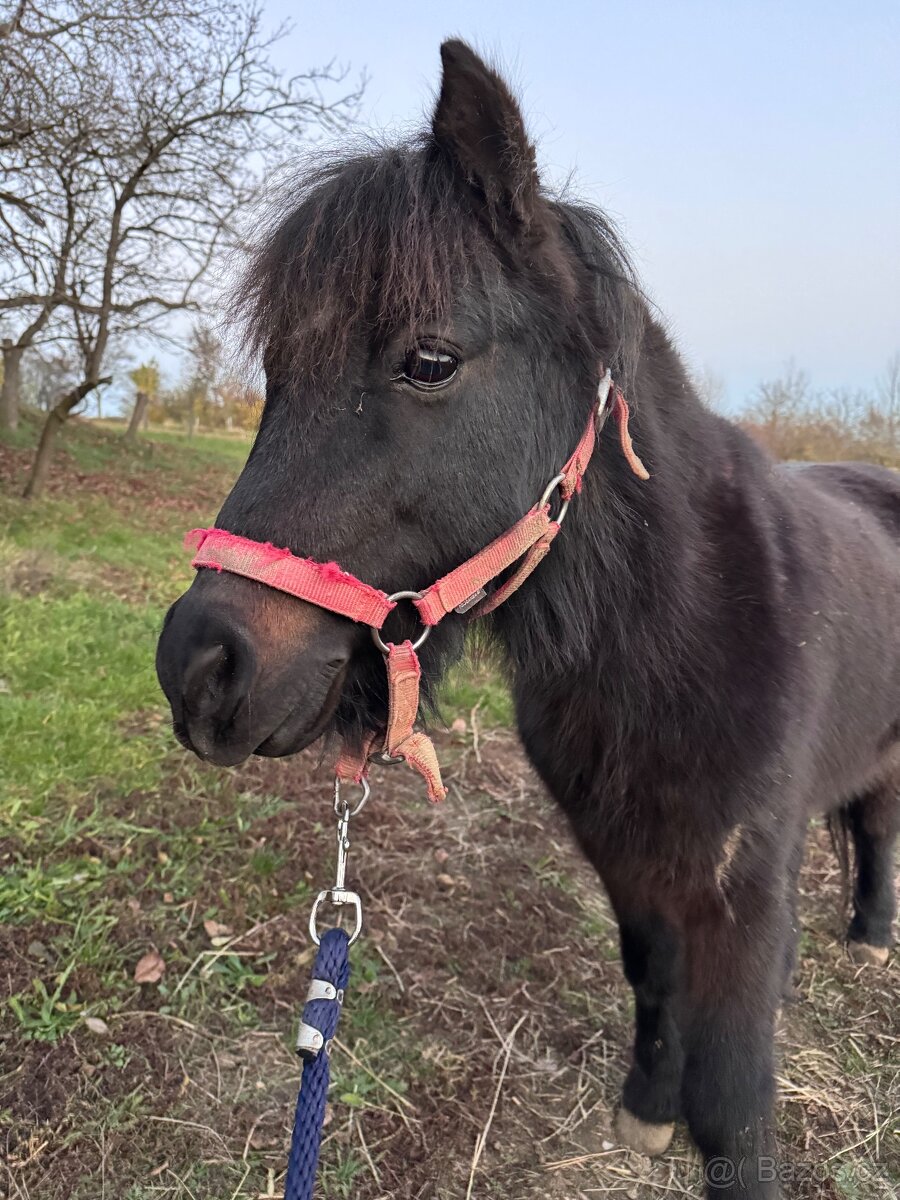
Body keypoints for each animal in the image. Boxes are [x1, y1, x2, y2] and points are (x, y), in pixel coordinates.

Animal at [156, 40, 900, 1198]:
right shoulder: (628, 858)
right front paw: (647, 1110)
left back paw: (868, 934)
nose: (200, 668)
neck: (683, 639)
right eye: (275, 373)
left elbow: (735, 1104)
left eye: (429, 360)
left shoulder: (745, 898)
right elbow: (651, 978)